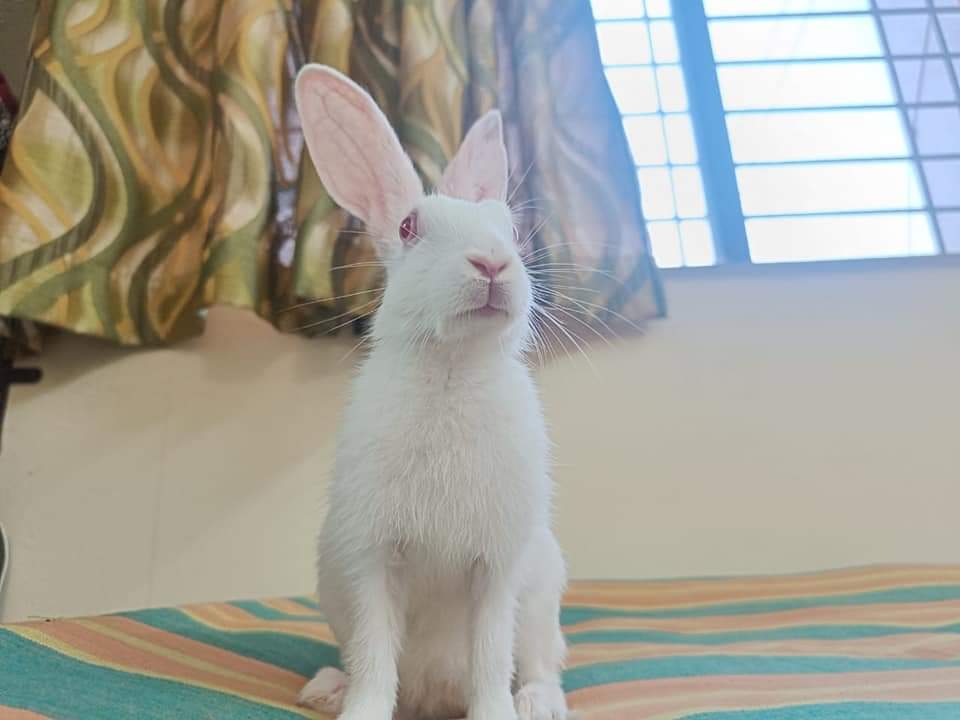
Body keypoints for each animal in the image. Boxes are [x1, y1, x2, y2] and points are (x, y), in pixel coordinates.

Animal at [293, 65, 569, 720]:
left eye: (511, 231)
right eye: (408, 227)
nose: (492, 263)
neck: (453, 367)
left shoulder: (495, 566)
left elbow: (490, 654)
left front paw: (494, 712)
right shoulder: (371, 559)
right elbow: (375, 654)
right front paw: (362, 710)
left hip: (543, 589)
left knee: (541, 658)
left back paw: (537, 703)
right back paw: (327, 688)